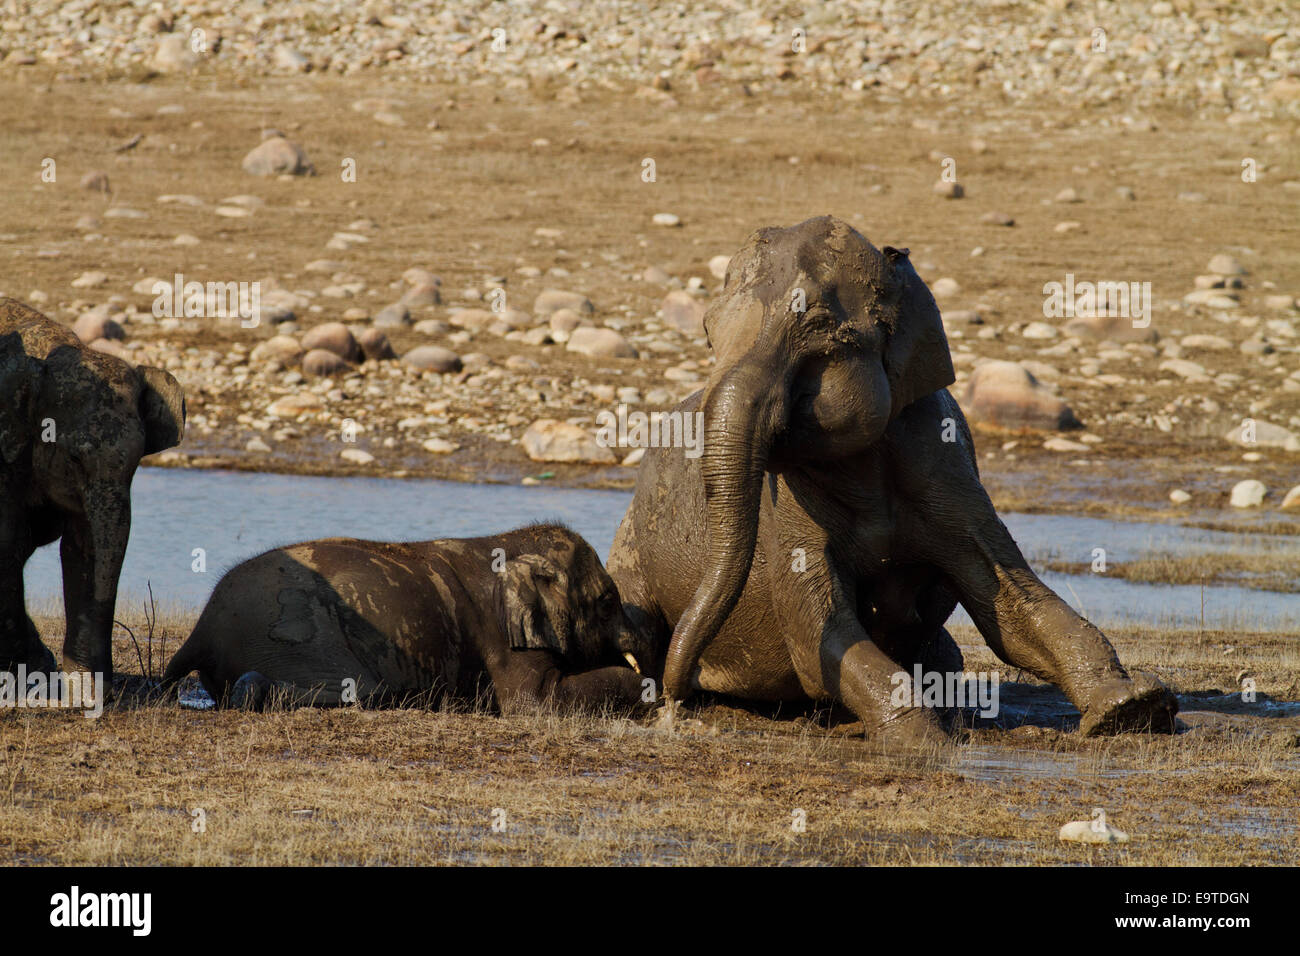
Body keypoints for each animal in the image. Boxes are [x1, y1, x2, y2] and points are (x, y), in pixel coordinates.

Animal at [0, 298, 186, 687]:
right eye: (73, 457)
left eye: (136, 462)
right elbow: (7, 540)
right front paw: (27, 671)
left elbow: (83, 547)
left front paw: (82, 685)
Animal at [161, 523, 655, 713]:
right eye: (606, 600)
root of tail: (202, 630)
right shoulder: (503, 642)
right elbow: (535, 702)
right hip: (296, 635)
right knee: (368, 690)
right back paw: (252, 690)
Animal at [607, 216, 1177, 743]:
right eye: (708, 333)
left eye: (818, 326)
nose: (675, 706)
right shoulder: (783, 500)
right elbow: (821, 632)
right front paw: (925, 739)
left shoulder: (946, 464)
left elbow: (1012, 606)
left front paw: (1131, 707)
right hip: (629, 549)